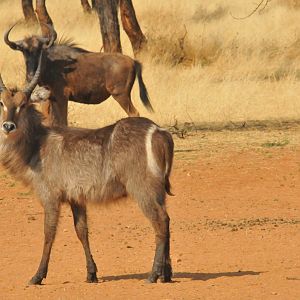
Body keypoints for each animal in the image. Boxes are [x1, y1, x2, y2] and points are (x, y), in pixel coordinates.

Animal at [0, 55, 173, 284]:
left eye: (23, 103)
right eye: (1, 102)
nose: (8, 126)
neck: (36, 145)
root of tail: (159, 131)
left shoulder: (50, 196)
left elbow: (49, 233)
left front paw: (37, 276)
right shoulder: (76, 197)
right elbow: (82, 231)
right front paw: (91, 273)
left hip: (143, 189)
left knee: (160, 222)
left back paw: (154, 274)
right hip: (159, 191)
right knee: (167, 220)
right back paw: (167, 274)